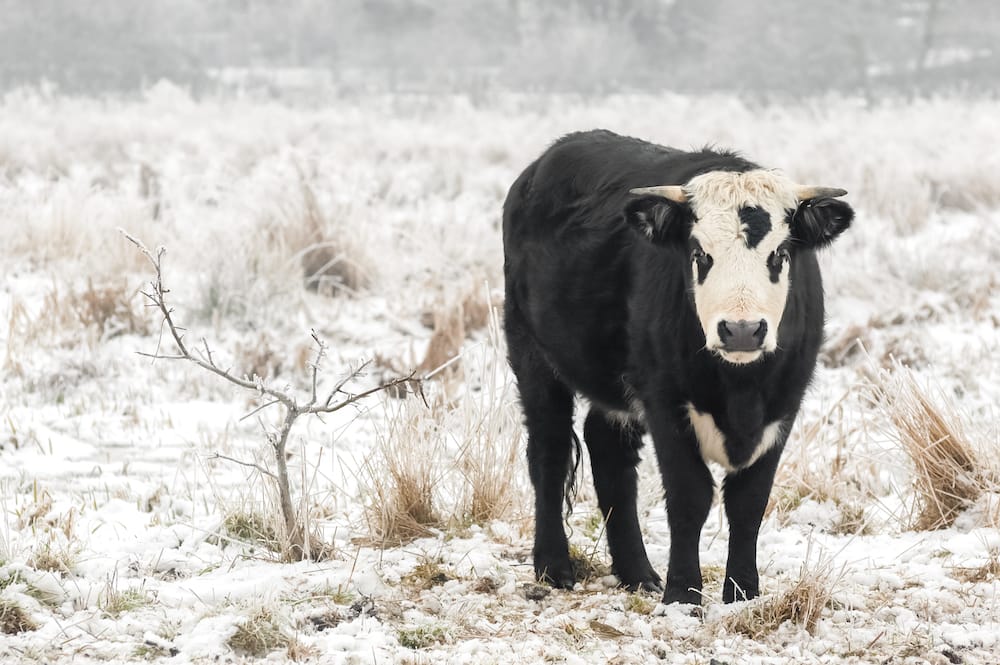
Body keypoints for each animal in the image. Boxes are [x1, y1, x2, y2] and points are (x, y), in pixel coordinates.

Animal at [500, 130, 852, 608]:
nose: (742, 330)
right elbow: (690, 496)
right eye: (699, 253)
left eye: (779, 253)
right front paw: (683, 595)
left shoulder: (785, 403)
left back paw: (638, 573)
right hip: (532, 354)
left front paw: (743, 594)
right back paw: (554, 566)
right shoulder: (665, 399)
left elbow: (749, 501)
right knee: (549, 451)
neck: (739, 389)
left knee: (608, 450)